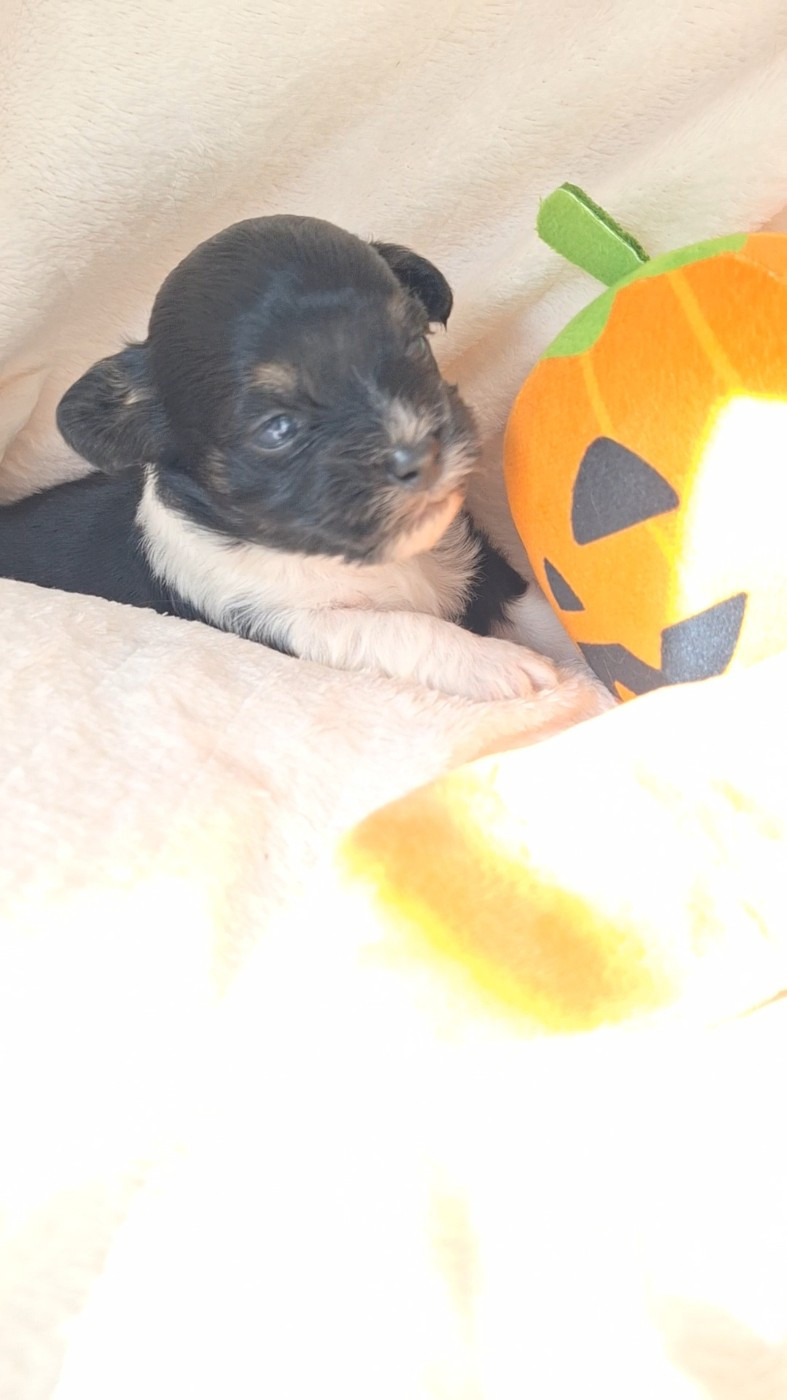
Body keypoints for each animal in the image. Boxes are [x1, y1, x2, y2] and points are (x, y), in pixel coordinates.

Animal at [0, 215, 587, 704]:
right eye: (277, 429)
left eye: (416, 346)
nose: (421, 452)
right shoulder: (287, 625)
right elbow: (395, 628)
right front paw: (494, 661)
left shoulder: (480, 562)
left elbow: (547, 615)